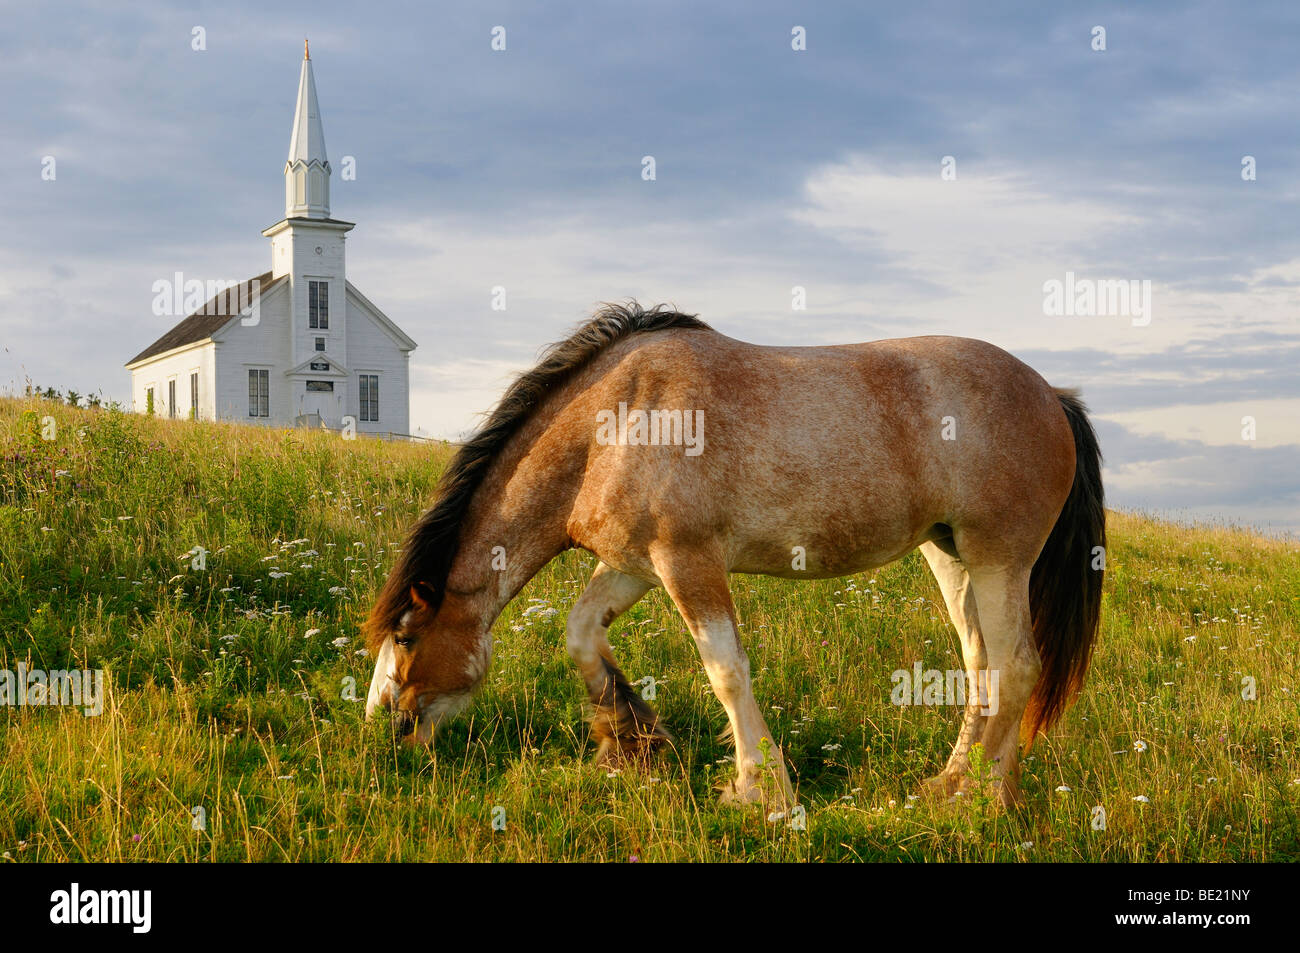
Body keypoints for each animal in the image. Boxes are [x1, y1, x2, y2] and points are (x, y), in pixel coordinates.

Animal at [361, 302, 1102, 800]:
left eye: (405, 635)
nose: (385, 732)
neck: (616, 420)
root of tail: (1052, 395)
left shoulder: (687, 562)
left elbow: (726, 670)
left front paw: (757, 789)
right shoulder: (635, 565)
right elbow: (581, 634)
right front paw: (631, 743)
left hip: (1000, 558)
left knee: (1017, 666)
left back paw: (976, 798)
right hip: (950, 556)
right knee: (981, 667)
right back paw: (956, 784)